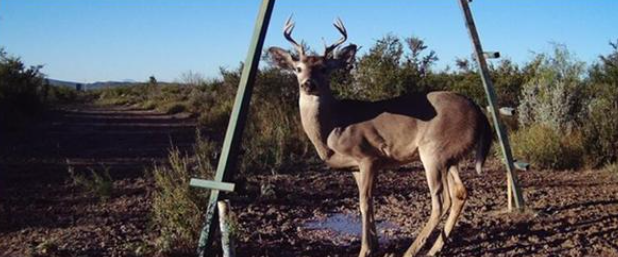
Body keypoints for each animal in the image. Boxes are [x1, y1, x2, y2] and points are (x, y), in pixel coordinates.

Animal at [268, 17, 488, 255]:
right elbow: (370, 202)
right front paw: (374, 245)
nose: (308, 84)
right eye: (297, 68)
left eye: (324, 68)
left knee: (440, 201)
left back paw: (411, 251)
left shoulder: (368, 157)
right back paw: (434, 249)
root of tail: (479, 111)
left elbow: (364, 203)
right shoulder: (354, 167)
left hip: (434, 151)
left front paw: (364, 250)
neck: (333, 127)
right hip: (451, 156)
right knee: (459, 193)